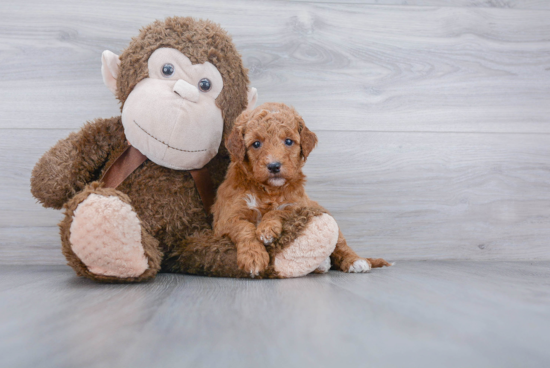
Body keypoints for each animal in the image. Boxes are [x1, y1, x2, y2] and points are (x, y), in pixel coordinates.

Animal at [212, 101, 392, 276]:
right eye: (256, 143)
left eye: (288, 141)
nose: (274, 166)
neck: (269, 190)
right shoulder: (227, 217)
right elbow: (245, 228)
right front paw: (253, 257)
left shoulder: (297, 206)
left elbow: (278, 211)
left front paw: (266, 228)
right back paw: (322, 265)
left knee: (341, 245)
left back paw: (356, 261)